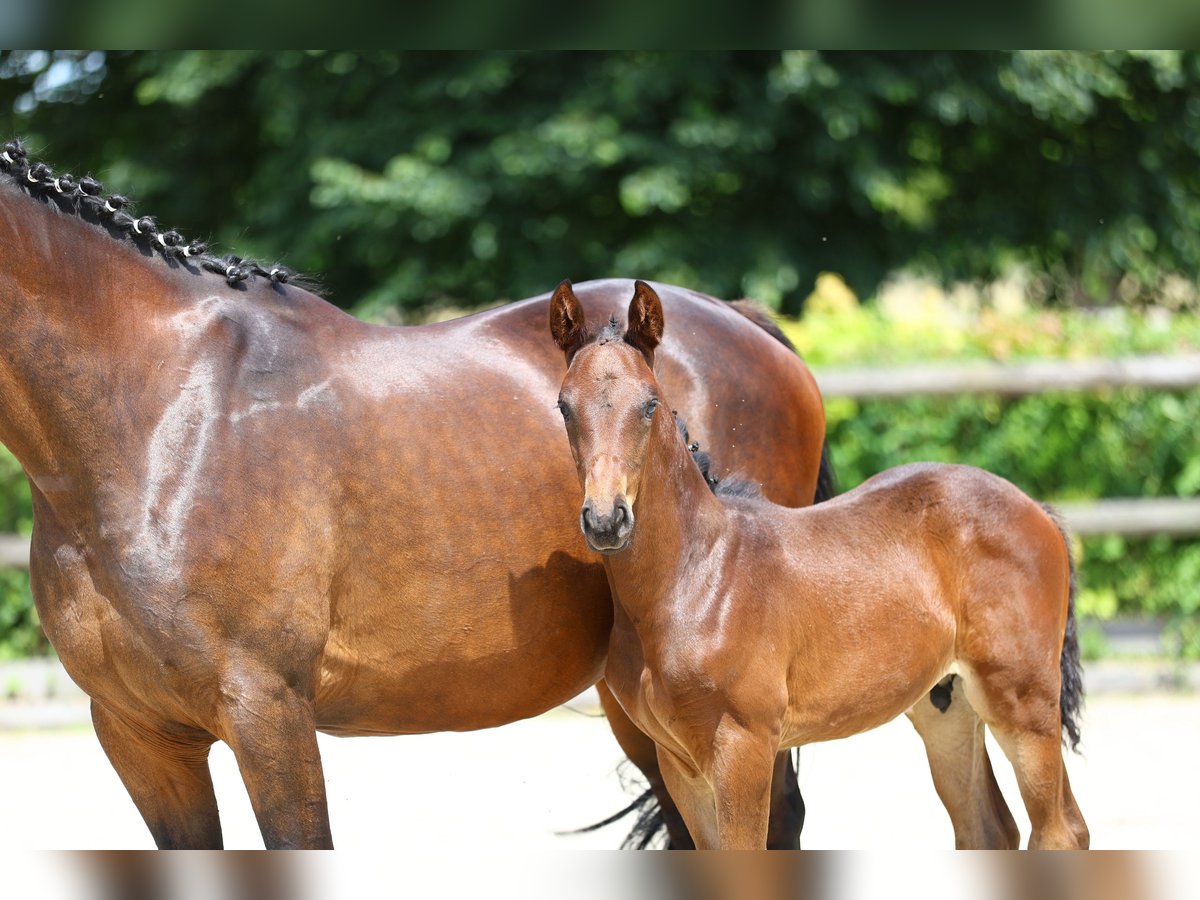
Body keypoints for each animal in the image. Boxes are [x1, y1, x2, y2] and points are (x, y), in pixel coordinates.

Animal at [549, 282, 1094, 854]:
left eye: (650, 404)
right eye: (564, 407)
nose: (606, 520)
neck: (694, 577)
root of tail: (1038, 510)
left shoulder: (743, 746)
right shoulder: (679, 762)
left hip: (1022, 701)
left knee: (1061, 830)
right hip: (948, 703)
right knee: (989, 828)